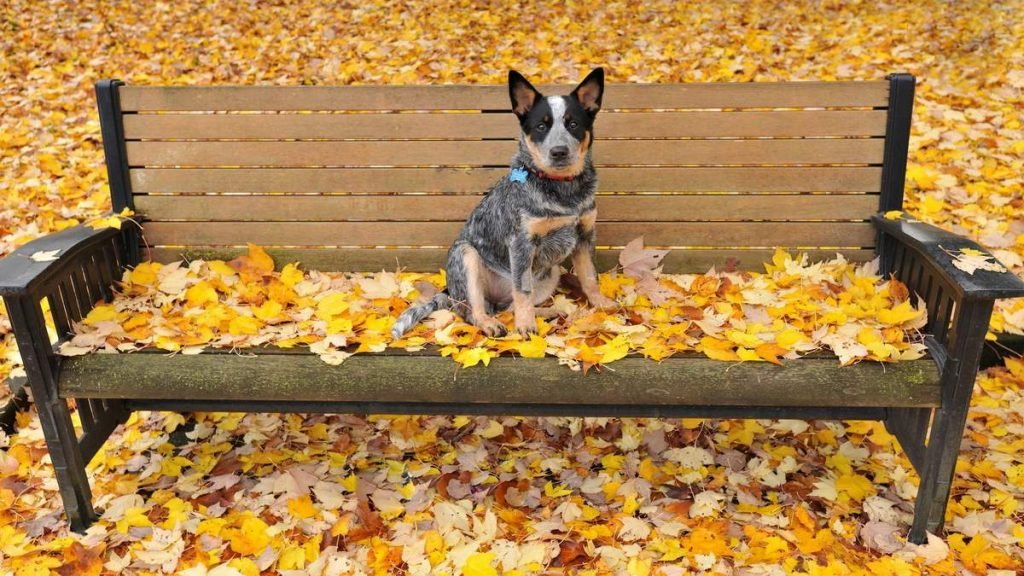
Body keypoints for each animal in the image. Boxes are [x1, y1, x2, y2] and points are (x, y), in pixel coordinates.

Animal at [391, 67, 614, 338]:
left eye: (573, 124)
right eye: (541, 126)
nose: (559, 151)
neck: (563, 190)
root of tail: (450, 292)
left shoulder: (584, 235)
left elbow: (590, 276)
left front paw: (601, 303)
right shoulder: (521, 243)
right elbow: (523, 291)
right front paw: (526, 326)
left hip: (551, 273)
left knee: (509, 307)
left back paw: (548, 312)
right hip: (466, 257)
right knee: (472, 311)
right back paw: (490, 323)